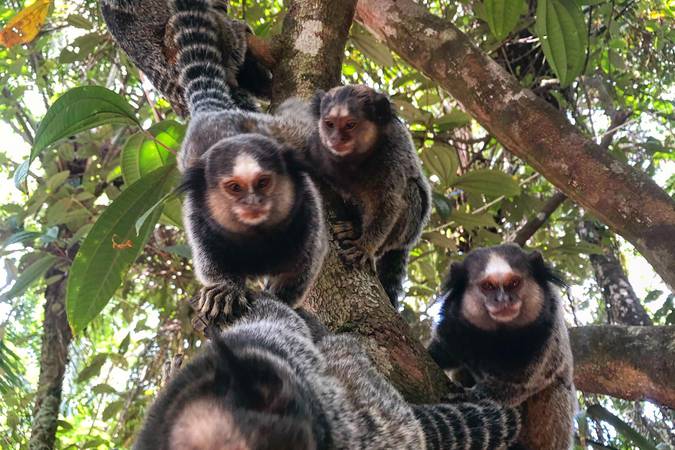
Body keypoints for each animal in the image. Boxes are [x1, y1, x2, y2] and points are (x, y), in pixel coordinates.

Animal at [276, 86, 432, 307]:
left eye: (350, 125)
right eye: (330, 124)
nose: (335, 139)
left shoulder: (393, 157)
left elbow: (389, 204)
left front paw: (365, 247)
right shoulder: (316, 145)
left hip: (409, 231)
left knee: (411, 192)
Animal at [427, 244, 576, 450]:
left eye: (513, 283)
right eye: (488, 286)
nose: (503, 300)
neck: (498, 335)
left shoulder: (547, 336)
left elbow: (520, 385)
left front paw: (469, 395)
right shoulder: (453, 325)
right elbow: (442, 352)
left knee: (556, 389)